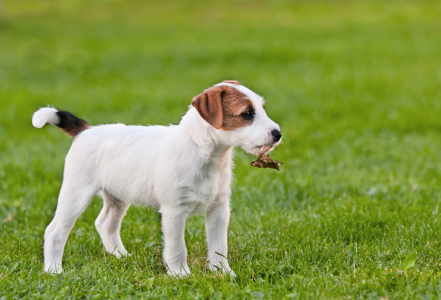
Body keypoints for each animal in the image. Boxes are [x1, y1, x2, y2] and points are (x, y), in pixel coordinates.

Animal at [32, 80, 284, 276]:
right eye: (246, 114)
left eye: (262, 109)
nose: (278, 134)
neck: (203, 153)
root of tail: (85, 131)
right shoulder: (174, 211)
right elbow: (177, 247)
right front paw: (180, 275)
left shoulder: (219, 208)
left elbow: (219, 245)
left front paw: (222, 272)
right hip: (76, 193)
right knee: (55, 231)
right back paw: (53, 269)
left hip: (117, 196)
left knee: (105, 224)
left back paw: (121, 256)